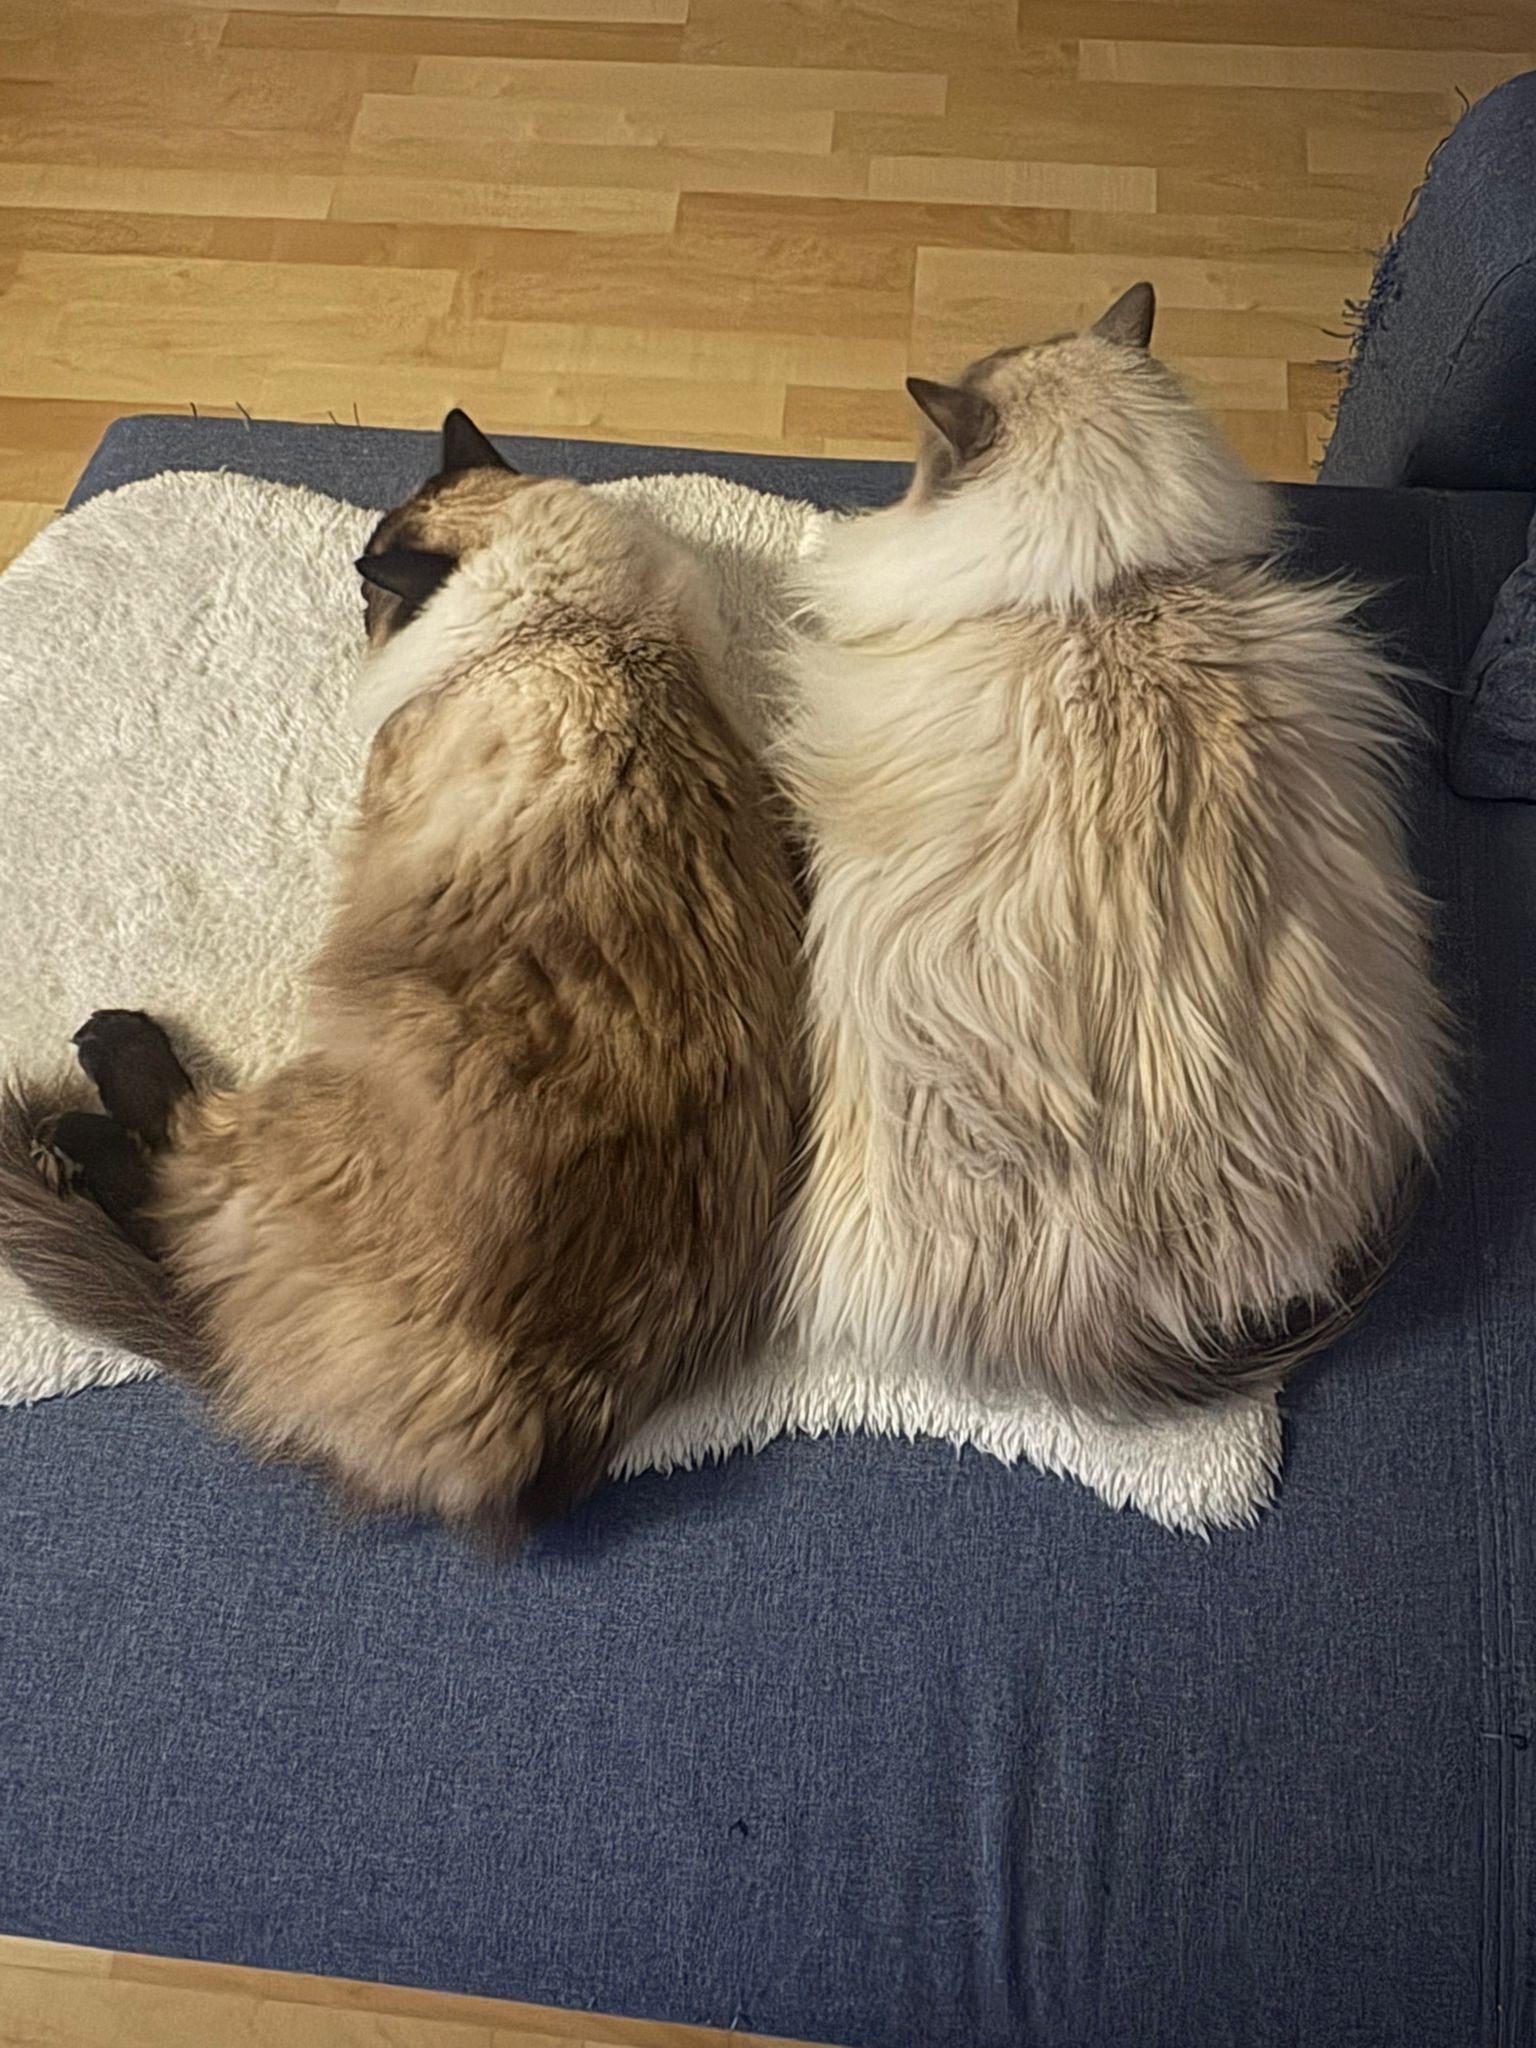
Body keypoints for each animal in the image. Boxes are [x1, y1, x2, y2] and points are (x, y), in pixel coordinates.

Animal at [1, 411, 803, 1532]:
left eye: (374, 589)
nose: (354, 609)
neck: (582, 628)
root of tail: (525, 1425)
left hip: (306, 1100)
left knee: (179, 1173)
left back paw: (87, 1098)